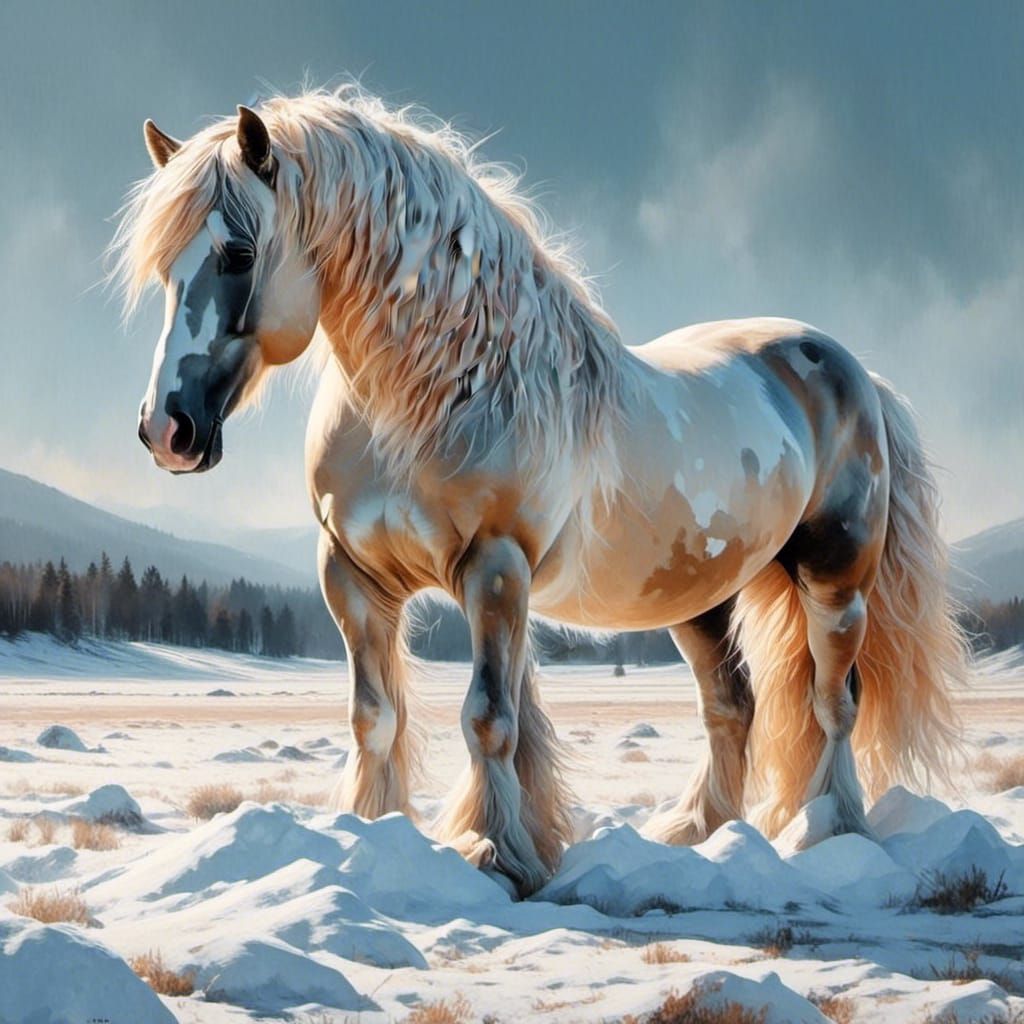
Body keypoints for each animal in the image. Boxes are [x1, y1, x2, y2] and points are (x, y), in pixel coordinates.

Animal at [116, 87, 967, 896]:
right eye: (164, 271)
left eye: (237, 252)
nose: (166, 429)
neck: (432, 394)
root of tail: (849, 368)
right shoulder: (353, 579)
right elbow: (375, 719)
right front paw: (378, 831)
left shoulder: (495, 571)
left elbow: (489, 720)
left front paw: (497, 854)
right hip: (698, 599)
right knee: (732, 707)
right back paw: (697, 832)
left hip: (835, 581)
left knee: (834, 703)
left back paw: (831, 832)